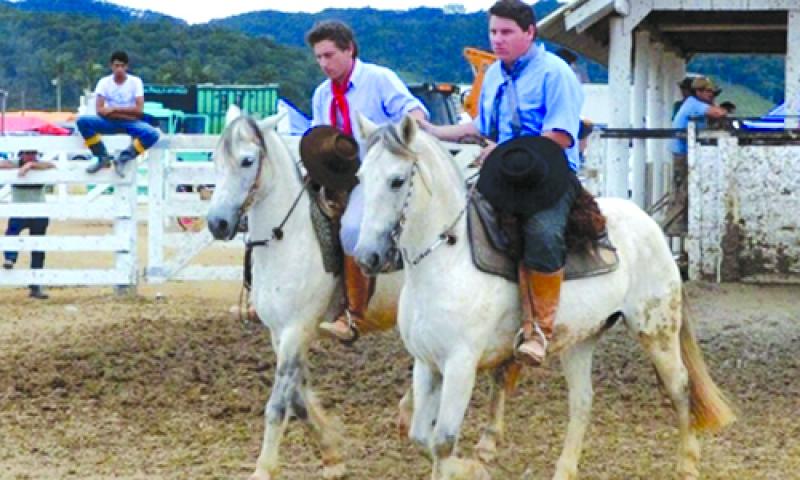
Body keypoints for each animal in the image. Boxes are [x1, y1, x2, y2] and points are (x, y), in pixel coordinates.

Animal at [206, 107, 410, 478]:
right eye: (214, 158)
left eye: (246, 161)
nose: (217, 223)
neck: (287, 238)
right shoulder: (280, 333)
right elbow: (297, 396)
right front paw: (332, 455)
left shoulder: (296, 329)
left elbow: (278, 403)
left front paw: (264, 468)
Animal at [354, 115, 736, 480]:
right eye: (360, 176)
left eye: (397, 180)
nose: (366, 256)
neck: (446, 260)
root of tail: (650, 224)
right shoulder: (426, 363)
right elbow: (422, 436)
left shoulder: (460, 365)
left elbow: (443, 441)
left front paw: (474, 467)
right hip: (581, 340)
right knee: (582, 402)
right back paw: (564, 470)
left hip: (657, 331)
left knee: (680, 387)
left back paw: (687, 465)